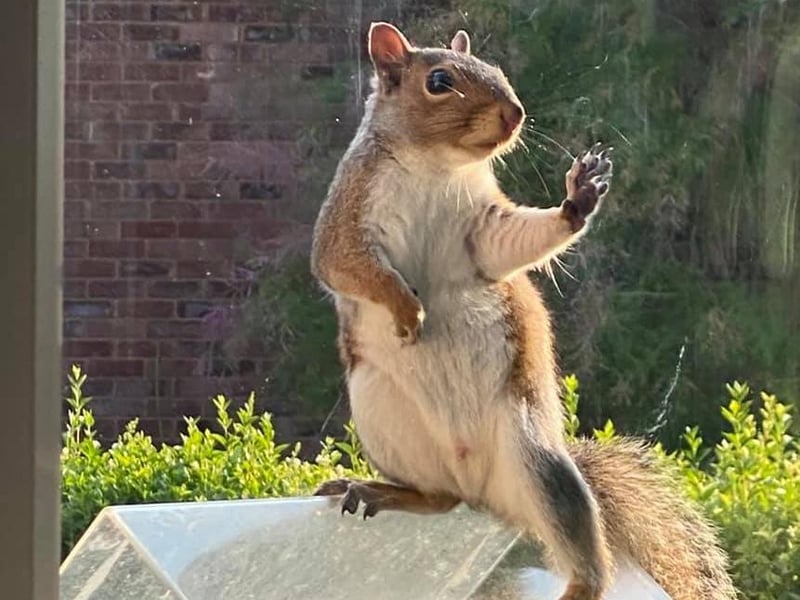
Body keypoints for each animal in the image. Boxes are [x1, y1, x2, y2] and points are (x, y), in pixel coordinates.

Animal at [310, 22, 736, 600]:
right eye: (438, 81)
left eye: (497, 70)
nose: (515, 113)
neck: (436, 167)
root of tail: (481, 489)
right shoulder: (349, 217)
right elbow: (350, 266)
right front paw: (406, 309)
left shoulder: (483, 226)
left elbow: (509, 244)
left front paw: (579, 198)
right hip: (383, 415)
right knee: (440, 497)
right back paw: (389, 492)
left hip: (539, 461)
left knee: (586, 555)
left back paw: (578, 584)